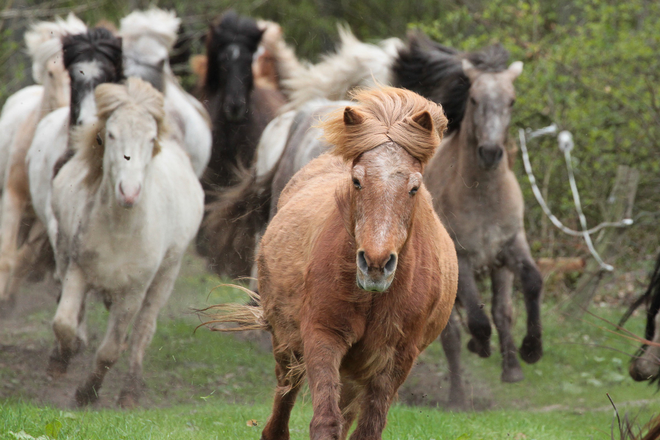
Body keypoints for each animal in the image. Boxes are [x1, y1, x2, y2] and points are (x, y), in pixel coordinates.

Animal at [0, 15, 87, 312]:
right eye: (51, 73)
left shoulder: (43, 214)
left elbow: (24, 257)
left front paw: (9, 299)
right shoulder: (12, 196)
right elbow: (7, 254)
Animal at [47, 76, 204, 410]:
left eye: (151, 138)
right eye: (110, 134)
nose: (129, 193)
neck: (120, 231)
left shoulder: (134, 291)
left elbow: (112, 348)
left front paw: (87, 392)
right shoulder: (78, 269)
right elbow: (64, 322)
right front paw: (62, 360)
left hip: (165, 277)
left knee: (143, 331)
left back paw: (130, 391)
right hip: (65, 253)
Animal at [204, 86, 456, 440]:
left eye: (414, 187)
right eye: (357, 181)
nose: (375, 263)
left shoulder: (396, 357)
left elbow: (368, 426)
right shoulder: (323, 336)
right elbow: (325, 419)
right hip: (288, 343)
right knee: (285, 395)